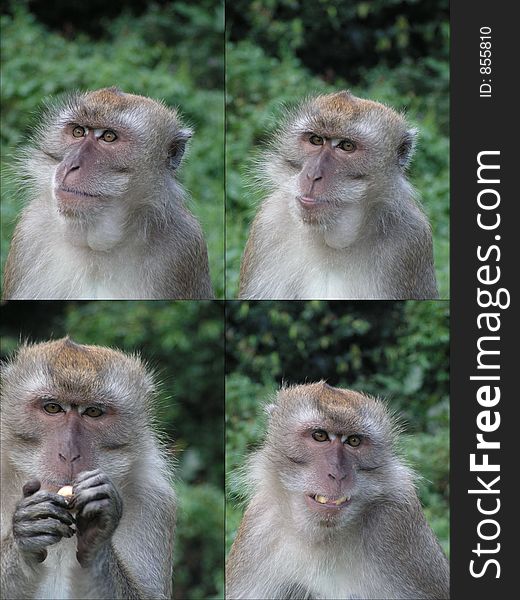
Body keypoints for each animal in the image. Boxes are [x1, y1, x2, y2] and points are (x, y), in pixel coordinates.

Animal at [0, 340, 176, 596]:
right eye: (53, 408)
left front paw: (98, 534)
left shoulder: (155, 500)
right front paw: (24, 536)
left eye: (93, 412)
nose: (69, 454)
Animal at [2, 86, 213, 298]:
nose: (70, 165)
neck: (96, 248)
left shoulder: (183, 246)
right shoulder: (30, 230)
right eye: (78, 131)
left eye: (109, 136)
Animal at [228, 382, 450, 596]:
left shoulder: (398, 524)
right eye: (320, 435)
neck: (322, 537)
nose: (337, 474)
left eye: (354, 441)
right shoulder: (259, 524)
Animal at [240, 92, 438, 300]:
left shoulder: (410, 238)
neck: (332, 244)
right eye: (316, 140)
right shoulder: (268, 224)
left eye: (346, 146)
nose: (312, 175)